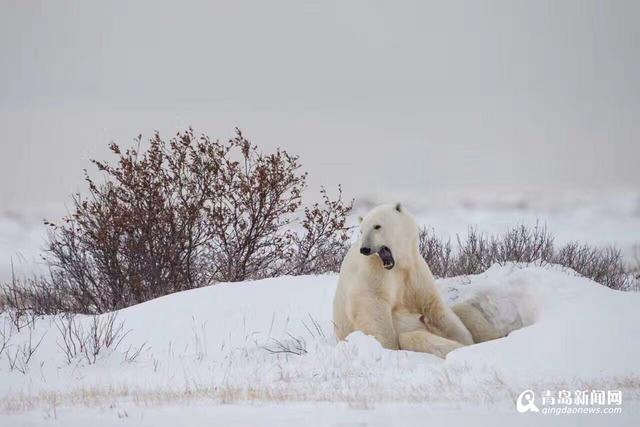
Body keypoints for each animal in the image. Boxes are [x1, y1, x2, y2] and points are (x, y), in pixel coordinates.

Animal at [333, 203, 506, 358]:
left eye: (377, 226)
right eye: (361, 230)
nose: (365, 248)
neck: (397, 265)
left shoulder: (415, 270)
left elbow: (433, 305)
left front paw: (465, 339)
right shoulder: (371, 272)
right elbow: (372, 305)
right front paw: (388, 348)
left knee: (462, 309)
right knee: (412, 337)